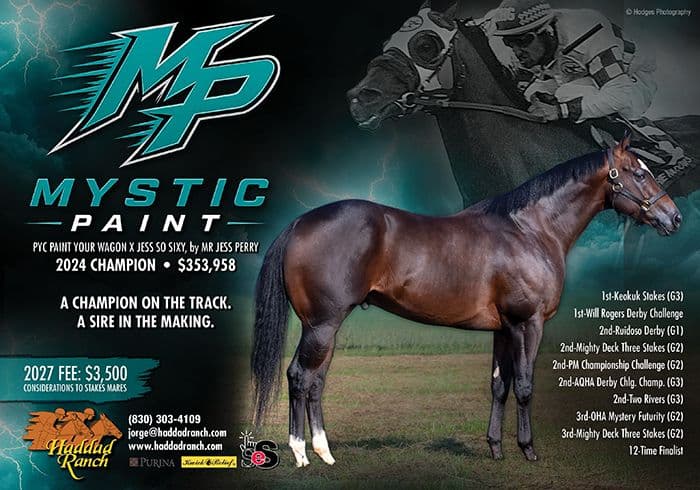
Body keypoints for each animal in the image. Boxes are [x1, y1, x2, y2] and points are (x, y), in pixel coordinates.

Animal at [251, 136, 681, 466]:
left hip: (324, 329)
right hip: (322, 325)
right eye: (639, 173)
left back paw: (324, 452)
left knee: (316, 382)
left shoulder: (504, 329)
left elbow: (499, 386)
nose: (674, 218)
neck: (531, 230)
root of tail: (299, 223)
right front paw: (528, 450)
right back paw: (301, 455)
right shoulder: (528, 324)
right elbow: (524, 385)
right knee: (300, 377)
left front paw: (495, 449)